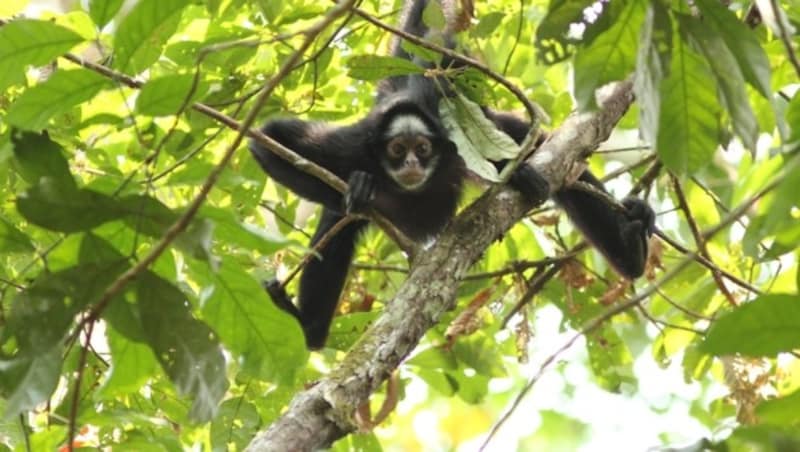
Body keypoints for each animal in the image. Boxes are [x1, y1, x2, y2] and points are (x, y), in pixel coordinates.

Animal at [250, 0, 656, 350]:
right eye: (397, 151)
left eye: (422, 149)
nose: (411, 165)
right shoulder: (352, 147)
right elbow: (268, 141)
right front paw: (360, 189)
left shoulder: (453, 136)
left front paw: (521, 175)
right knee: (338, 223)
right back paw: (309, 330)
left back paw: (631, 249)